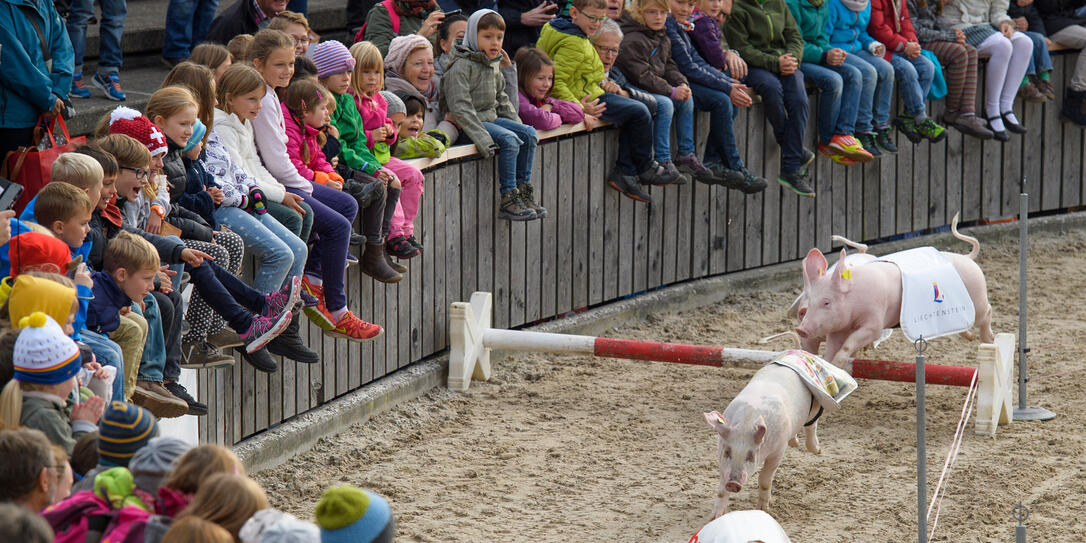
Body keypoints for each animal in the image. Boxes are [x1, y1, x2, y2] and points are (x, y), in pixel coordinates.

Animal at [703, 362, 816, 514]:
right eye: (727, 452)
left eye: (750, 456)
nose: (733, 483)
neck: (746, 424)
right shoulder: (720, 453)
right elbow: (721, 489)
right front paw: (715, 516)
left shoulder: (779, 450)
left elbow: (764, 478)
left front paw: (763, 510)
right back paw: (795, 443)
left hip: (813, 407)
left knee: (812, 425)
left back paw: (816, 450)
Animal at [790, 213, 994, 367]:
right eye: (809, 304)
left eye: (826, 302)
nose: (801, 329)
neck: (855, 300)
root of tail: (968, 258)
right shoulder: (837, 329)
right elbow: (832, 350)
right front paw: (832, 366)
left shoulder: (875, 321)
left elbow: (851, 344)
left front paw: (839, 363)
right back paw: (969, 336)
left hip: (977, 300)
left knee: (988, 312)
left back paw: (989, 340)